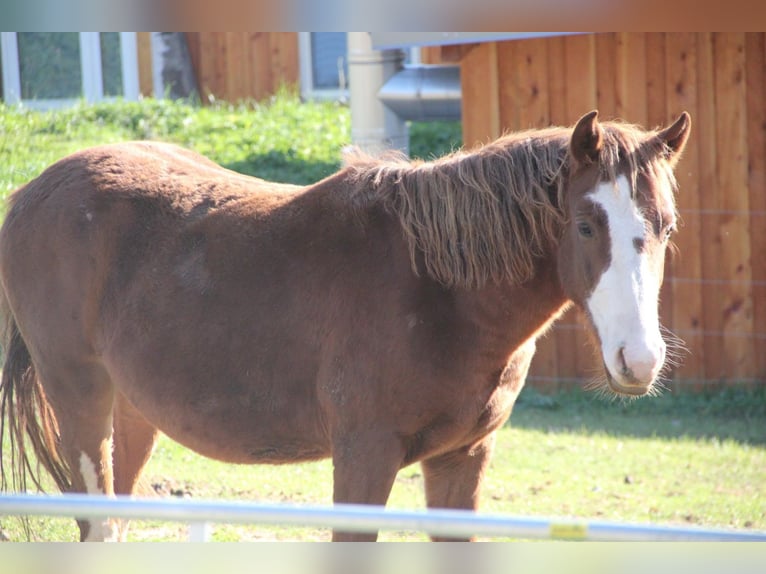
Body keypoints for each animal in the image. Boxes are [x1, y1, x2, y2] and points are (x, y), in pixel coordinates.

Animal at [0, 110, 692, 544]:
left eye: (667, 227)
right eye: (586, 225)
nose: (639, 361)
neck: (437, 288)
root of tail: (31, 192)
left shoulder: (463, 458)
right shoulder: (364, 456)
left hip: (133, 416)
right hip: (81, 405)